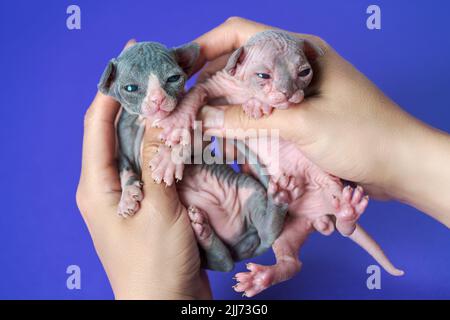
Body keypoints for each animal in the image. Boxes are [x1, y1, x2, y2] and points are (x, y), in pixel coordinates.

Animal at [150, 30, 404, 298]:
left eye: (304, 72)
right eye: (263, 75)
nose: (287, 93)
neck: (243, 90)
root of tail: (318, 214)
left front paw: (255, 105)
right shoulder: (216, 87)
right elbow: (196, 95)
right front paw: (176, 125)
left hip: (327, 182)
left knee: (345, 228)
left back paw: (348, 211)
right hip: (291, 227)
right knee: (292, 262)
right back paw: (264, 277)